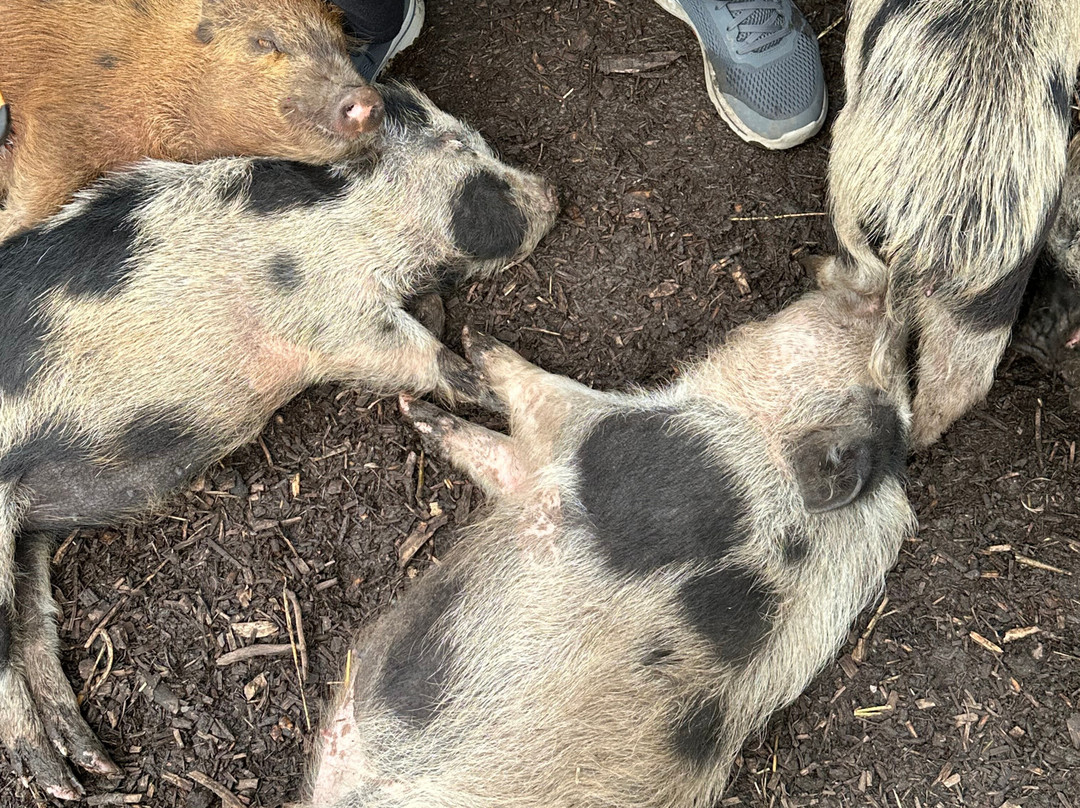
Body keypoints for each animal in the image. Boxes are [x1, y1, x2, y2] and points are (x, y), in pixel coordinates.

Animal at [0, 81, 558, 799]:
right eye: (470, 160)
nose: (552, 189)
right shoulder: (339, 319)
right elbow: (423, 356)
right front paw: (477, 381)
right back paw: (60, 777)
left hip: (31, 527)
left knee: (30, 630)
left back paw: (88, 767)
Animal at [307, 286, 916, 807]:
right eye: (897, 381)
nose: (890, 291)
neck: (760, 437)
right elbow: (506, 460)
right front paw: (419, 405)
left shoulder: (612, 436)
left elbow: (541, 406)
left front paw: (469, 350)